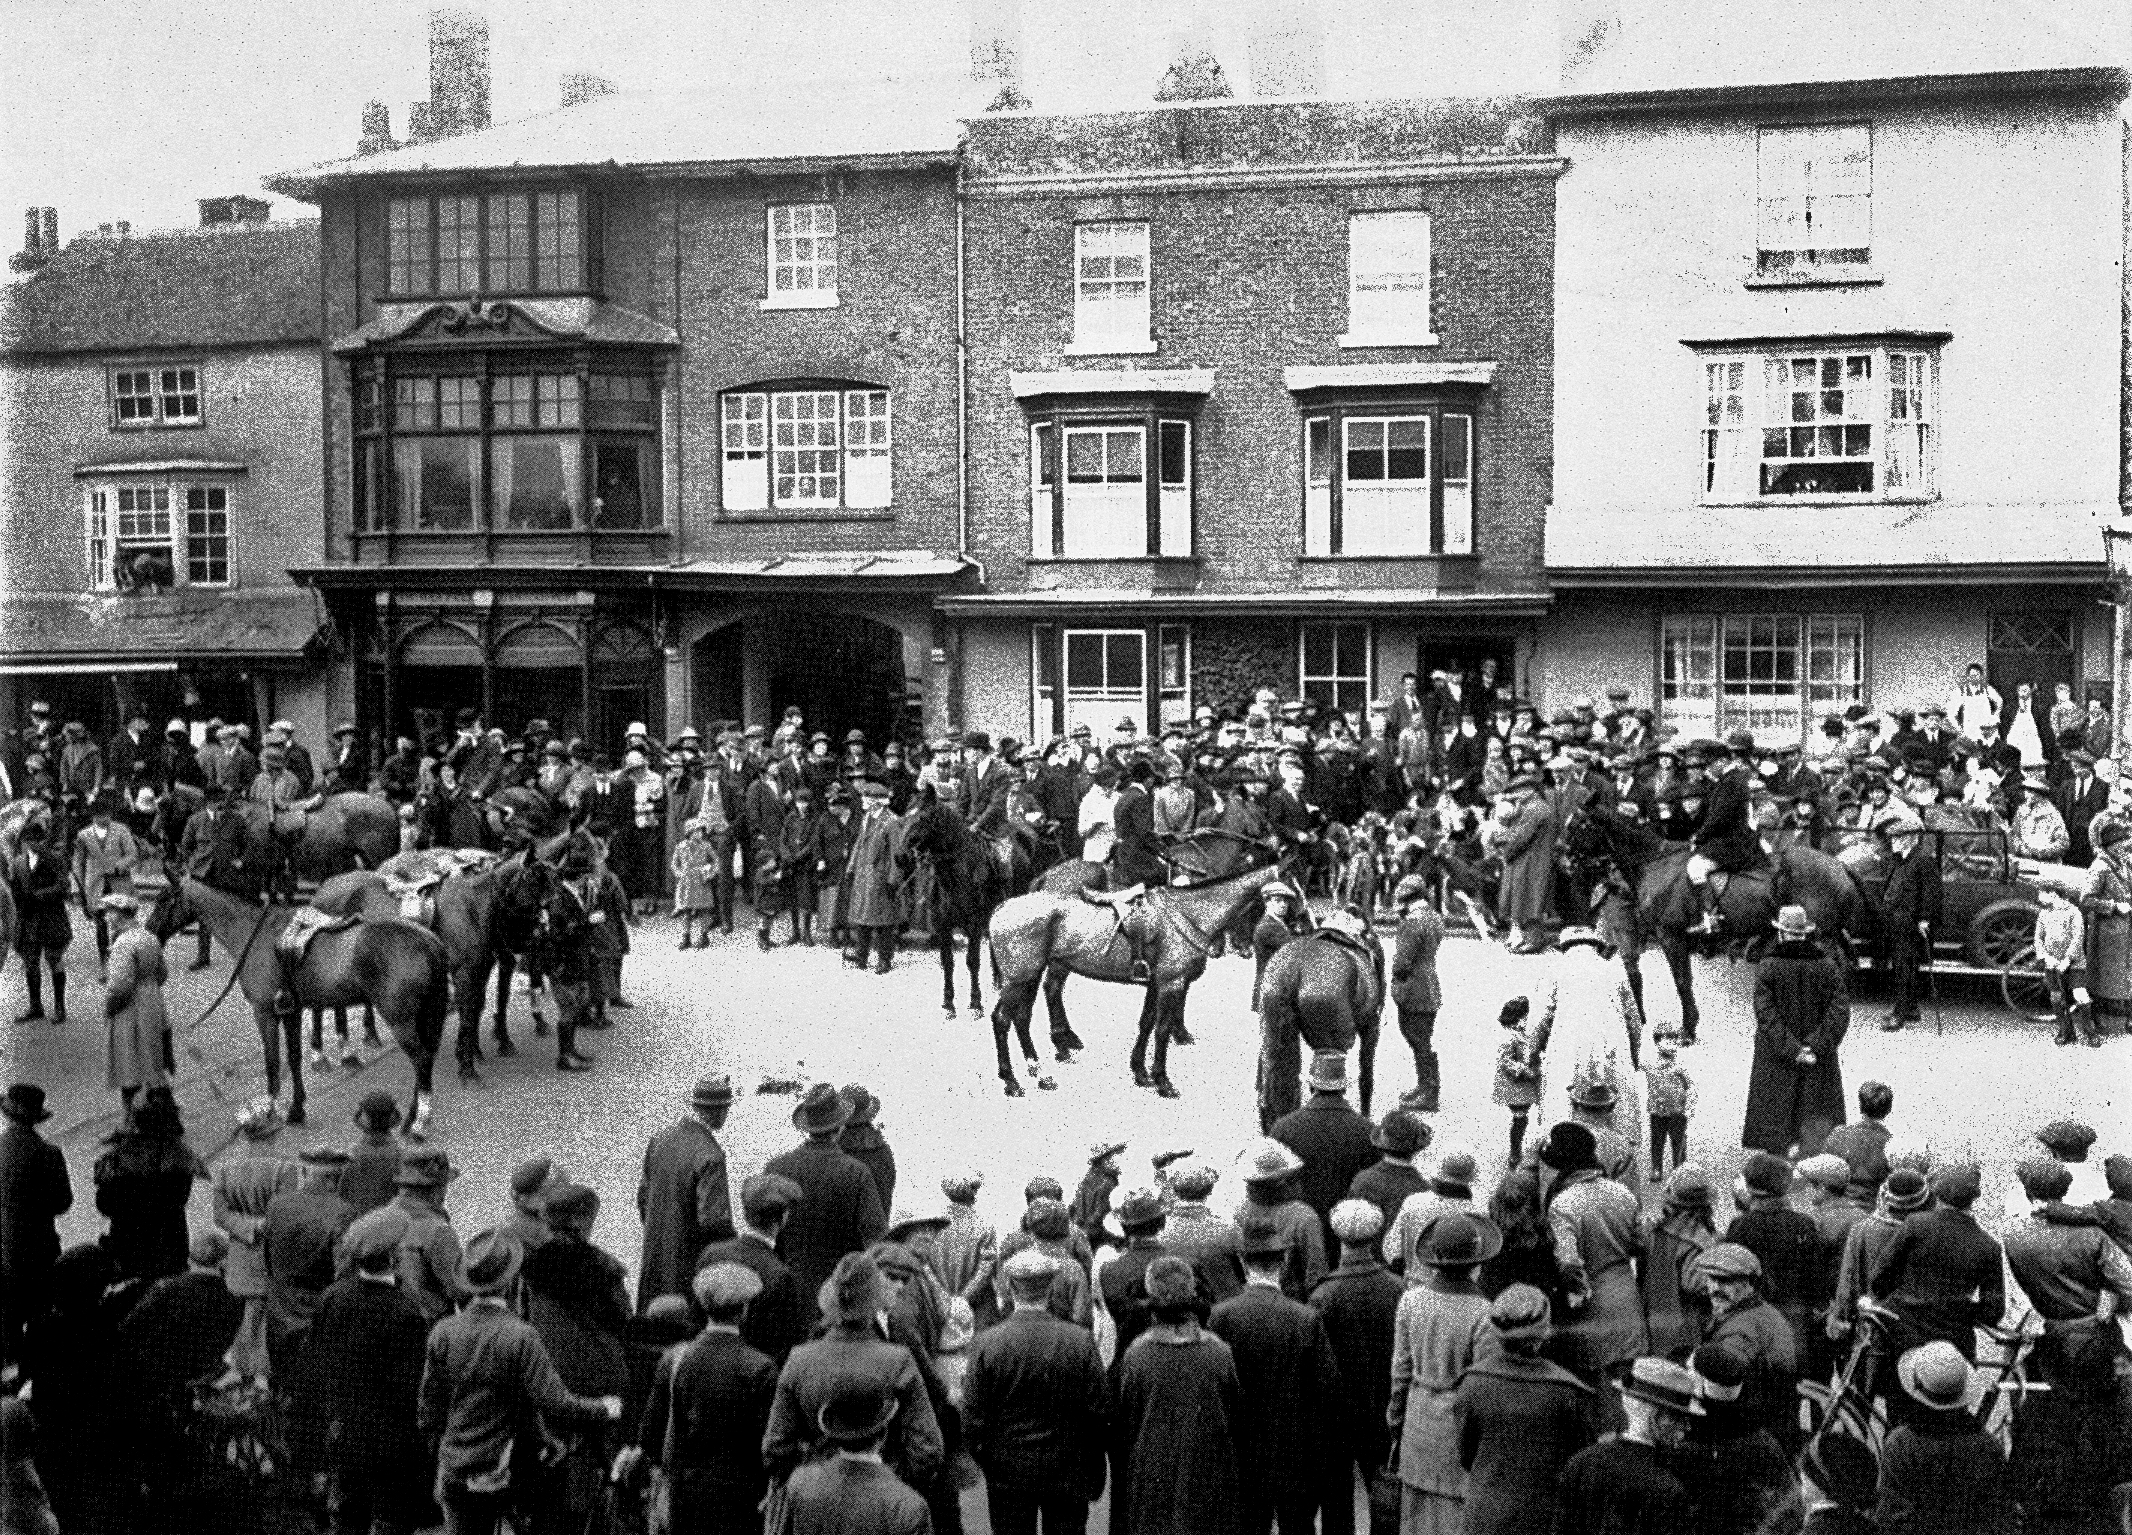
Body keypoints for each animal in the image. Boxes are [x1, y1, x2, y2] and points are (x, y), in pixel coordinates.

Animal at [143, 874, 451, 1142]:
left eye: (164, 899)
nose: (149, 934)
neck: (255, 935)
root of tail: (429, 942)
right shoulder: (290, 1011)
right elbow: (293, 1058)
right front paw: (297, 1109)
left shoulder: (265, 1013)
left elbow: (273, 1062)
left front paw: (271, 1111)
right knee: (425, 1060)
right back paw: (411, 1117)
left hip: (400, 1019)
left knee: (422, 1060)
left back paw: (419, 1122)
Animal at [891, 793, 1006, 1019]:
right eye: (906, 815)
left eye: (923, 817)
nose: (900, 857)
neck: (958, 877)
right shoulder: (942, 926)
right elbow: (947, 962)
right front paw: (948, 1003)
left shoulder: (974, 926)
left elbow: (972, 961)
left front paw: (975, 1003)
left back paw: (999, 979)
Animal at [984, 857, 1296, 1100]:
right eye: (1289, 892)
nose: (1243, 947)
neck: (1188, 913)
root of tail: (1002, 907)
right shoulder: (1172, 983)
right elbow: (1162, 1029)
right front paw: (1162, 1081)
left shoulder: (1156, 983)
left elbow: (1146, 1023)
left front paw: (1140, 1072)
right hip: (1019, 978)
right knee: (1003, 1018)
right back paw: (1012, 1080)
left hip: (1030, 975)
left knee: (1022, 1016)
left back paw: (1041, 1072)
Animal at [1560, 801, 1876, 1044]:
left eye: (1579, 825)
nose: (1563, 859)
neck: (1658, 863)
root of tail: (1840, 865)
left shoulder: (1671, 937)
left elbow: (1682, 982)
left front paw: (1687, 1030)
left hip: (1821, 935)